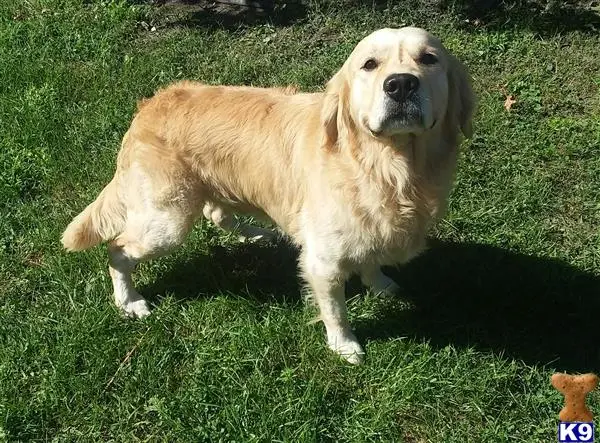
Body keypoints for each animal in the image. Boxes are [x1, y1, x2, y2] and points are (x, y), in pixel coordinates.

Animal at [61, 28, 474, 368]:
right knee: (118, 248)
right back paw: (128, 301)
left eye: (429, 59)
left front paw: (382, 284)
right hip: (167, 222)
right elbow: (335, 310)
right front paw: (344, 346)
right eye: (369, 64)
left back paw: (260, 234)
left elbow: (371, 259)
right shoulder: (323, 261)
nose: (401, 84)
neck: (389, 168)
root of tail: (147, 107)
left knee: (217, 215)